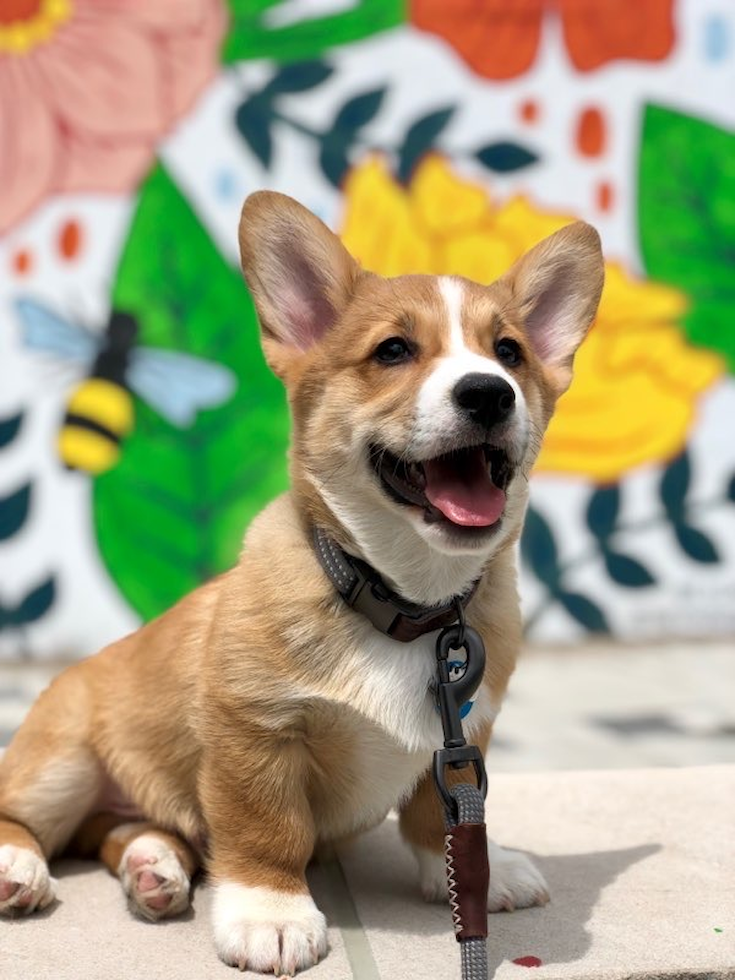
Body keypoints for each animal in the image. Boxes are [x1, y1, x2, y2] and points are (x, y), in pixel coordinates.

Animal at [0, 191, 604, 972]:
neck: (405, 602)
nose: (488, 394)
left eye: (509, 354)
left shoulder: (464, 733)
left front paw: (484, 868)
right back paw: (20, 866)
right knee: (22, 814)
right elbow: (266, 830)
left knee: (129, 831)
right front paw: (272, 915)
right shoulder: (254, 729)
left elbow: (436, 817)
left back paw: (152, 866)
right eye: (393, 351)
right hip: (61, 763)